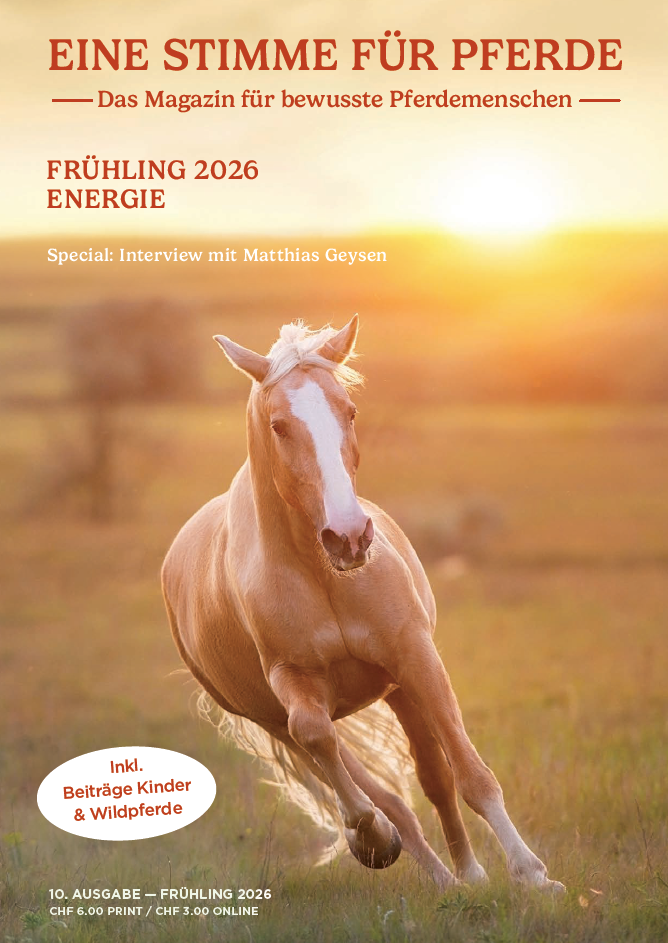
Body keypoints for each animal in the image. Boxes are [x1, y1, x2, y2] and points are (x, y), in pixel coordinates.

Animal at [161, 317, 564, 892]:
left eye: (349, 412)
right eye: (279, 426)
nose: (348, 537)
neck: (323, 574)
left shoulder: (415, 657)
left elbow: (471, 776)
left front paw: (533, 876)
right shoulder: (293, 683)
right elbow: (326, 747)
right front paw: (369, 837)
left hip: (398, 689)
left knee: (434, 780)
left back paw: (468, 877)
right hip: (273, 719)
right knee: (375, 788)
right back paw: (433, 872)